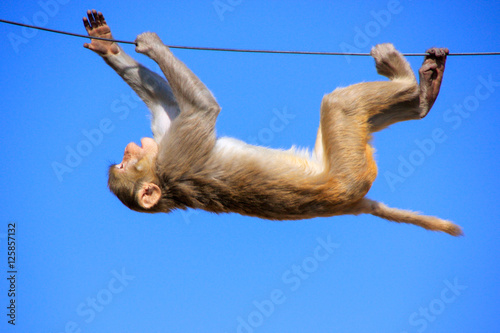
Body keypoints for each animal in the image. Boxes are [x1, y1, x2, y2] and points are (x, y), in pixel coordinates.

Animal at [83, 9, 460, 235]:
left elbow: (169, 104)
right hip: (352, 172)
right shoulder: (176, 157)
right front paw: (152, 45)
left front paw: (107, 45)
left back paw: (425, 94)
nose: (130, 148)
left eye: (125, 160)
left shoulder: (166, 148)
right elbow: (203, 111)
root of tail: (351, 203)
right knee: (339, 104)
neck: (162, 175)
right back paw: (409, 84)